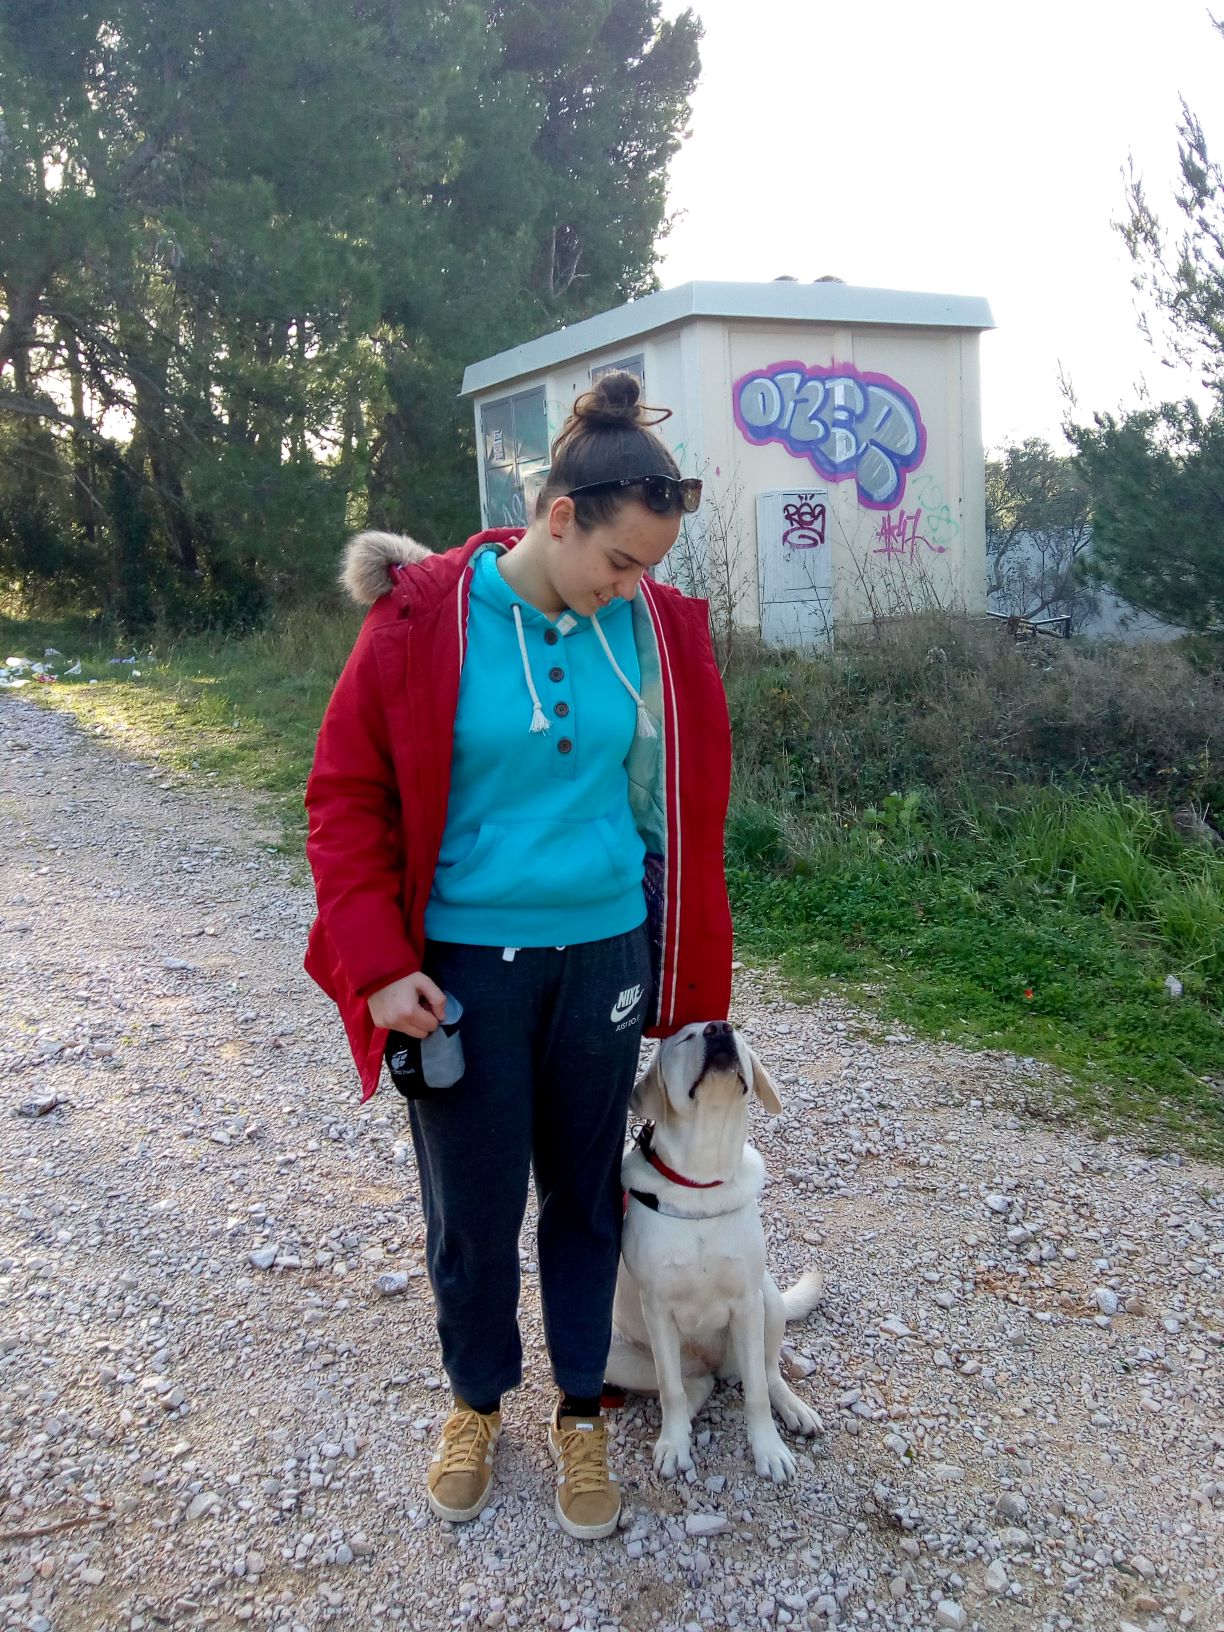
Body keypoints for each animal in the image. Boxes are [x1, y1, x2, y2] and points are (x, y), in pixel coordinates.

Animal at [604, 1020, 823, 1482]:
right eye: (684, 1038)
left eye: (735, 1031)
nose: (718, 1027)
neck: (701, 1178)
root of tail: (714, 1363)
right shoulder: (658, 1309)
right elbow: (670, 1389)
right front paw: (674, 1445)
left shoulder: (746, 1302)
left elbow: (757, 1392)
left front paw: (768, 1450)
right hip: (616, 1356)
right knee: (692, 1386)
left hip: (768, 1300)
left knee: (768, 1372)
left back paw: (794, 1409)